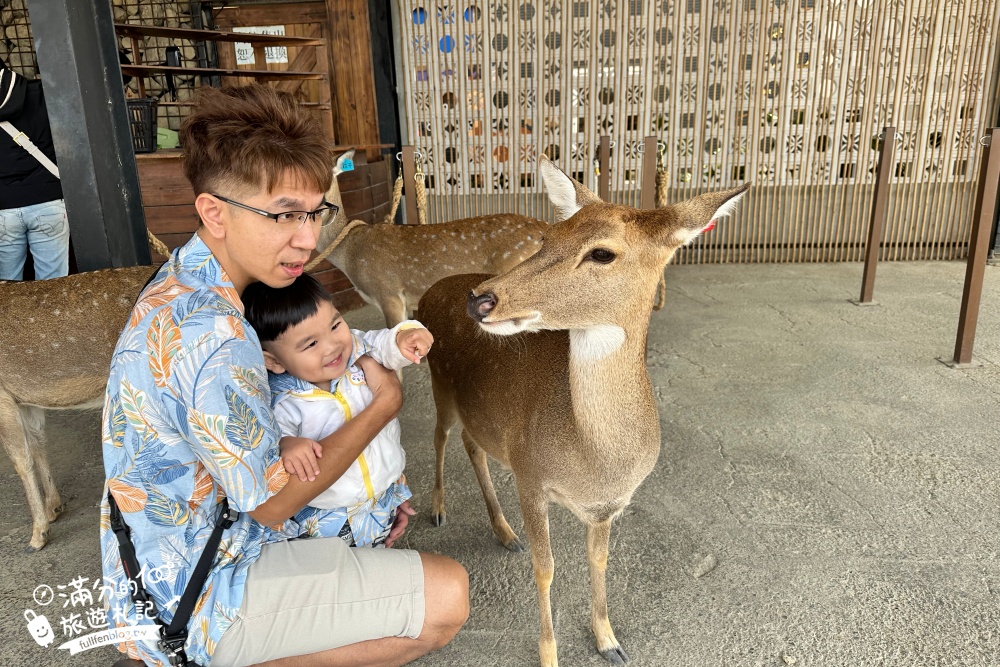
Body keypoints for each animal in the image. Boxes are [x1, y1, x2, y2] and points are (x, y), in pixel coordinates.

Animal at [422, 154, 752, 664]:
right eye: (546, 237)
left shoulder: (607, 506)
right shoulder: (530, 476)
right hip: (438, 382)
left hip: (479, 413)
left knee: (470, 444)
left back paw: (503, 532)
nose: (481, 299)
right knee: (438, 435)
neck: (595, 461)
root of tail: (428, 293)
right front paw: (549, 654)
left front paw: (609, 639)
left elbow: (599, 559)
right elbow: (546, 568)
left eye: (602, 253)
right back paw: (438, 511)